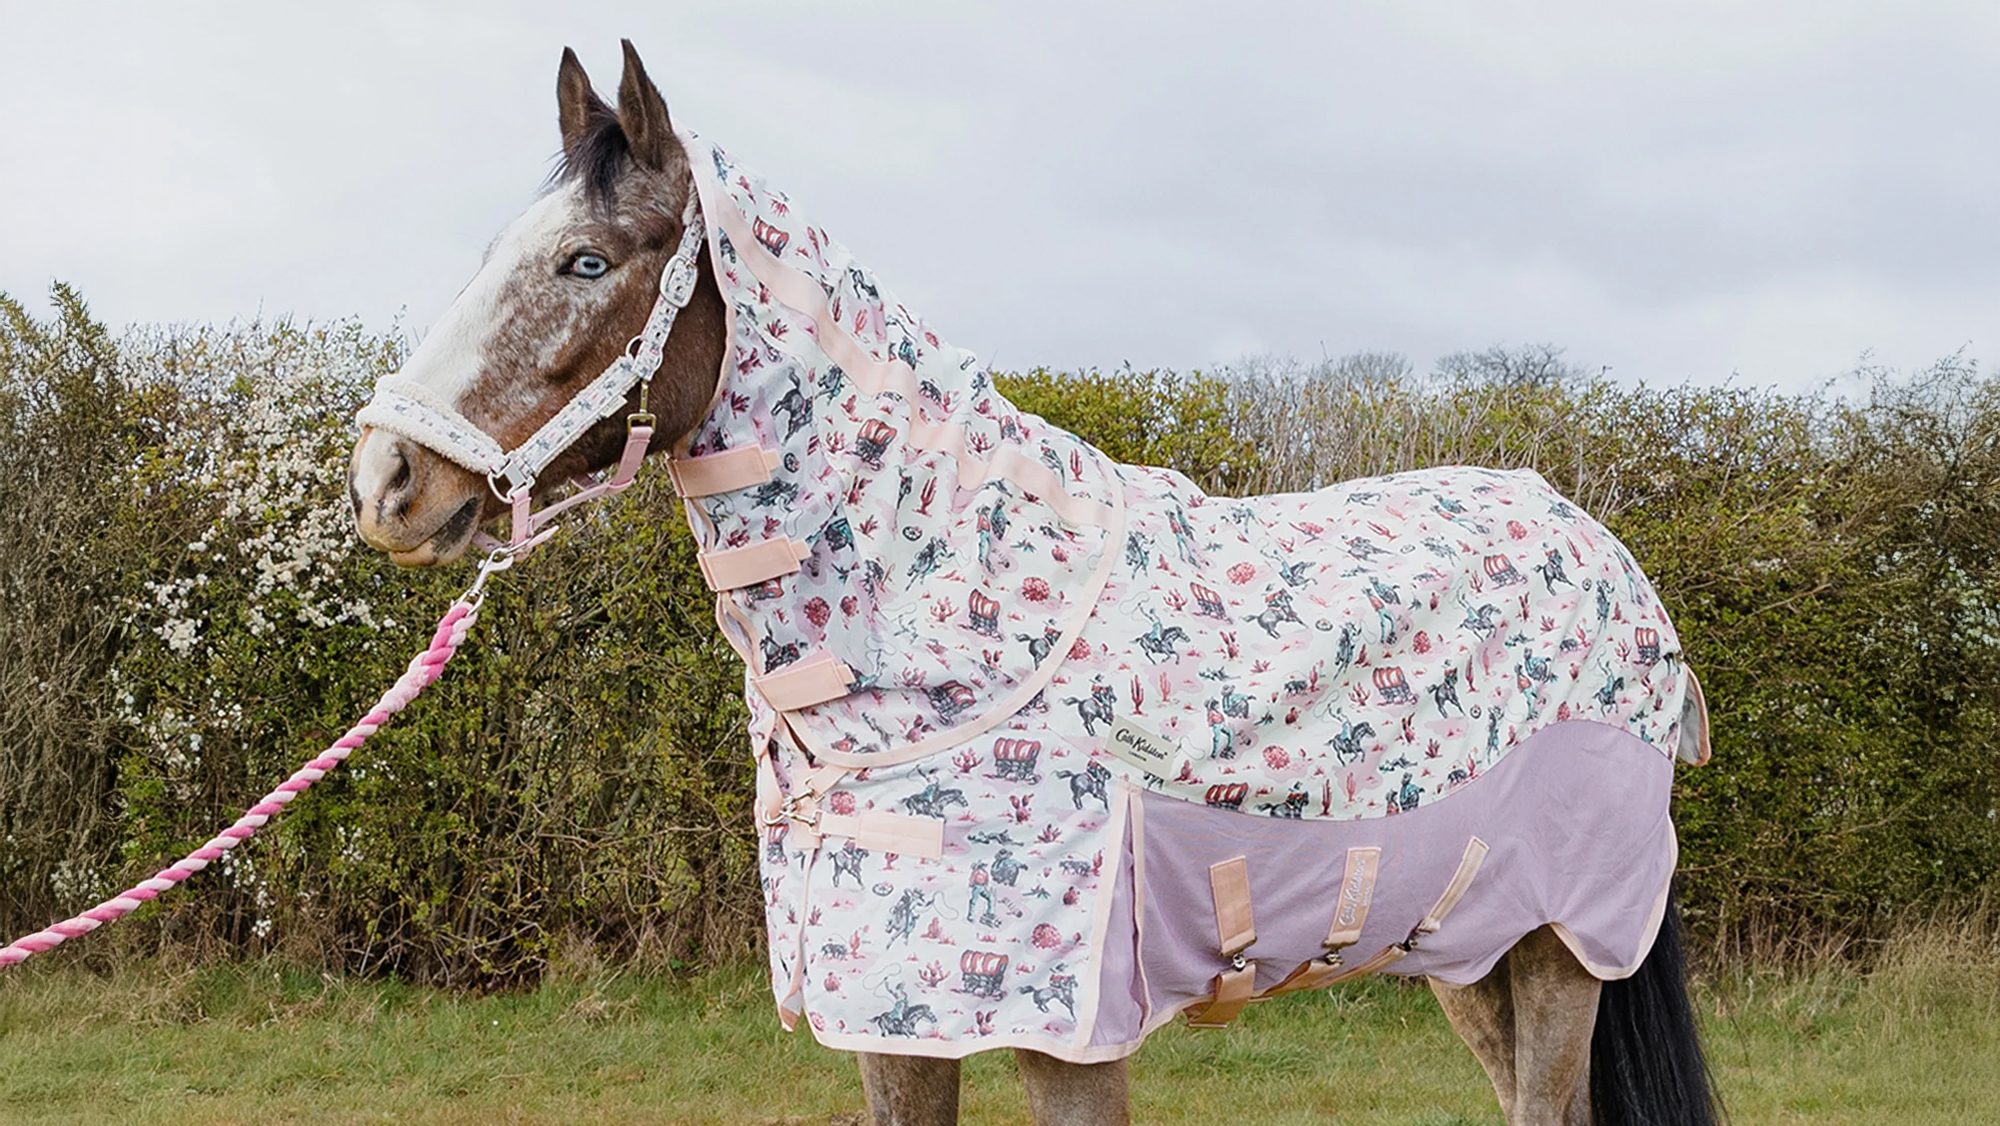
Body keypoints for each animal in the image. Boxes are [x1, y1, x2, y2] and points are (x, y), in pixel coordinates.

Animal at [350, 41, 1720, 1126]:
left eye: (584, 262)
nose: (385, 483)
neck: (951, 621)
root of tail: (1598, 549)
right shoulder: (889, 1017)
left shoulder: (1068, 1029)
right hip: (1466, 951)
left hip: (1562, 950)